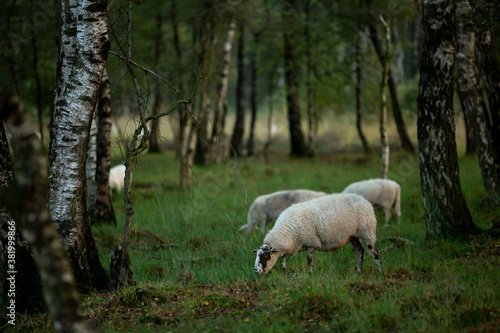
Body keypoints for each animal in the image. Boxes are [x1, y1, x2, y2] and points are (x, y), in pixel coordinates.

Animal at [254, 193, 382, 274]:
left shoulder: (310, 242)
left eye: (265, 256)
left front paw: (310, 273)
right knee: (359, 250)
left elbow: (309, 260)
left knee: (374, 251)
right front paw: (284, 272)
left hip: (367, 232)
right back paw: (358, 271)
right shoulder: (288, 246)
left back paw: (380, 271)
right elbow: (283, 259)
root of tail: (365, 201)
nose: (255, 271)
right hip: (353, 236)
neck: (288, 231)